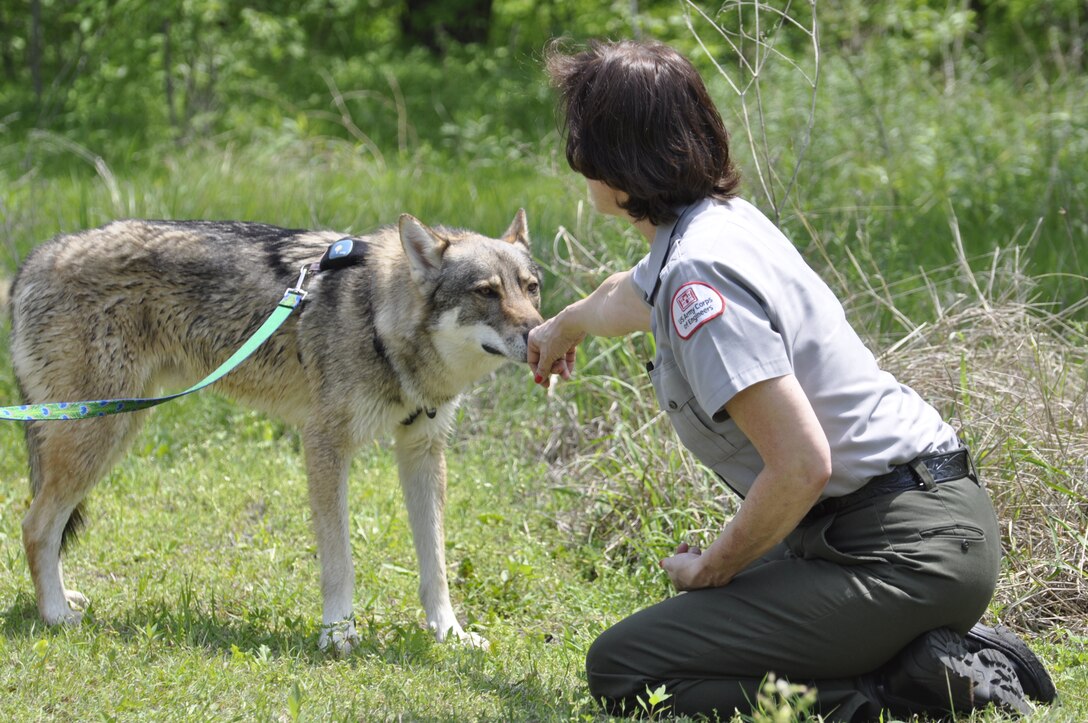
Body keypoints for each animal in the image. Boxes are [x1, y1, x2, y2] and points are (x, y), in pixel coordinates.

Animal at [4, 209, 539, 652]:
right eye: (486, 292)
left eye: (530, 287)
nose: (538, 333)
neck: (376, 318)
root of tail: (36, 256)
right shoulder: (324, 445)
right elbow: (339, 562)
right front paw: (337, 634)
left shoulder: (421, 450)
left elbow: (436, 566)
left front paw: (450, 634)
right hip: (98, 438)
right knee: (35, 526)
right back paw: (56, 616)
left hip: (114, 427)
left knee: (46, 526)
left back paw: (64, 599)